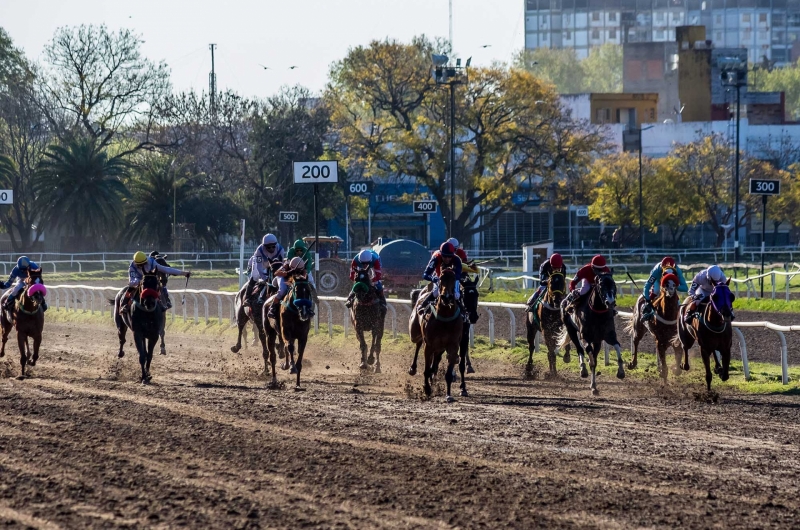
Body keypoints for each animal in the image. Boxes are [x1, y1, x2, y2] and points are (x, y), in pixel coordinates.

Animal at [410, 268, 466, 400]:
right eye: (440, 279)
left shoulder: (453, 345)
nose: (446, 297)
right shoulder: (429, 345)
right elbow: (426, 369)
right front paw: (427, 389)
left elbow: (448, 372)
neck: (445, 316)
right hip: (415, 333)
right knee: (418, 343)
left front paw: (448, 395)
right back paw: (413, 368)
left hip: (440, 347)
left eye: (453, 279)